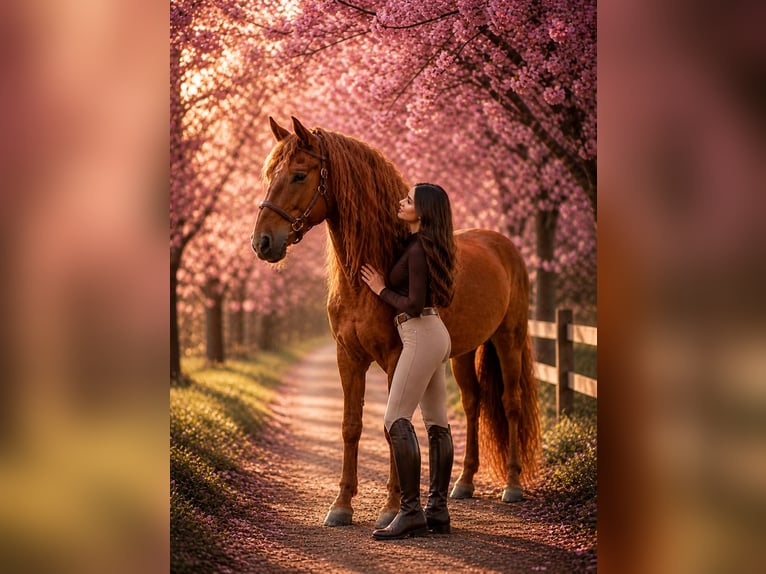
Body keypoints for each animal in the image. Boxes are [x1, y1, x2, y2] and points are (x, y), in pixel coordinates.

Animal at [251, 116, 540, 528]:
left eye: (299, 175)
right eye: (270, 174)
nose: (261, 242)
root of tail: (503, 244)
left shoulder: (393, 359)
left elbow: (392, 427)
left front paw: (390, 507)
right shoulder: (347, 358)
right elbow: (351, 425)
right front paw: (341, 505)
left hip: (508, 338)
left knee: (510, 402)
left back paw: (512, 485)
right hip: (463, 353)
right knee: (473, 403)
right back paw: (464, 483)